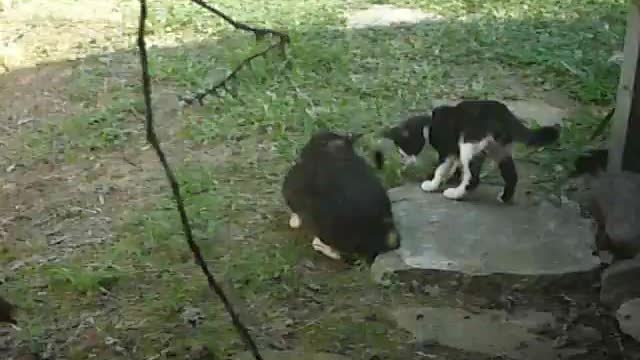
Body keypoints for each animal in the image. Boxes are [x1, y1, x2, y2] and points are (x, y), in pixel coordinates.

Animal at [376, 100, 560, 204]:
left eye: (403, 152)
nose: (403, 161)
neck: (429, 126)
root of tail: (504, 115)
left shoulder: (448, 149)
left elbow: (441, 169)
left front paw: (432, 184)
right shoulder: (454, 152)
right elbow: (451, 167)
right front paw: (448, 176)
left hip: (469, 144)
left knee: (473, 178)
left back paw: (455, 194)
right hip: (499, 149)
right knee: (511, 175)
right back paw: (504, 198)